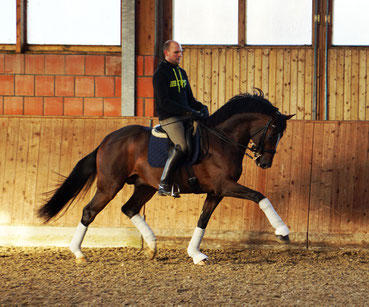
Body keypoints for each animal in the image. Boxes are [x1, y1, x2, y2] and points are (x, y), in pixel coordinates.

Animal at [38, 90, 294, 266]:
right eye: (273, 131)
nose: (265, 163)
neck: (222, 141)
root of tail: (107, 139)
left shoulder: (216, 191)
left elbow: (203, 220)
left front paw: (196, 254)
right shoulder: (225, 186)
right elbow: (260, 197)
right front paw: (282, 232)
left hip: (145, 186)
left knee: (129, 209)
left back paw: (151, 246)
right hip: (109, 185)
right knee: (89, 211)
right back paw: (78, 253)